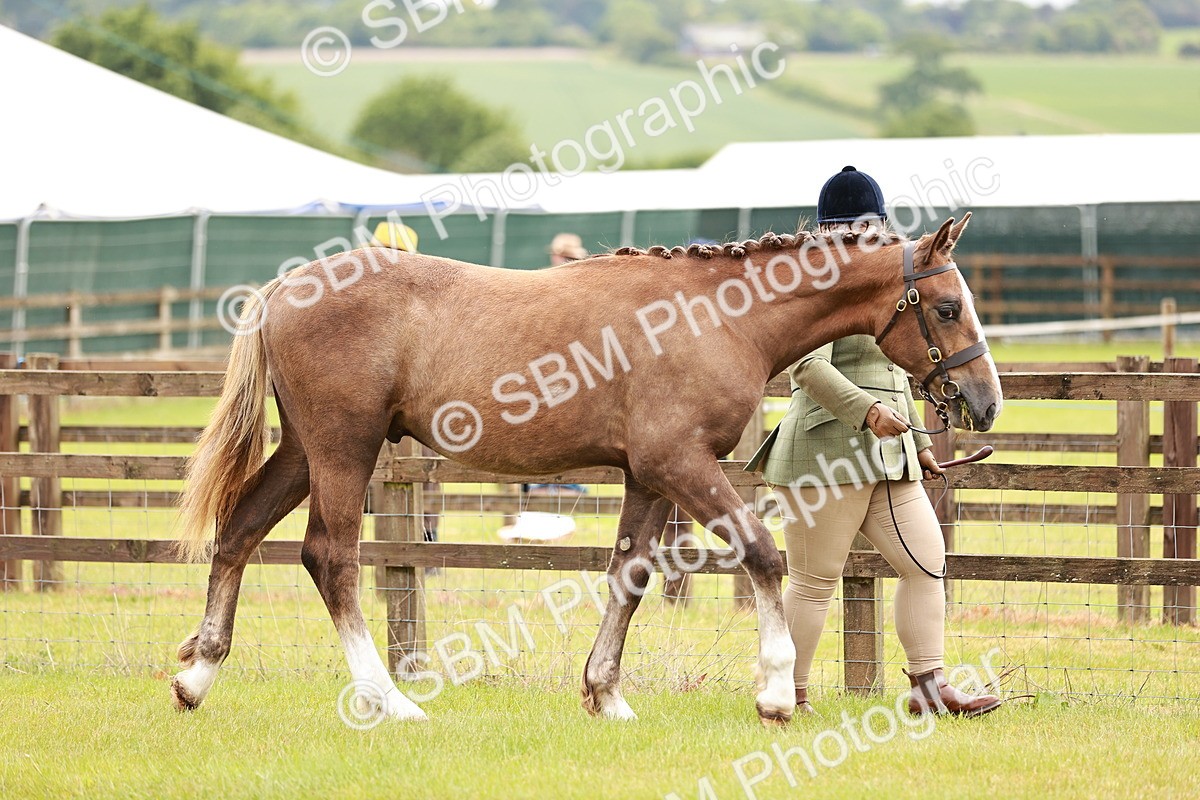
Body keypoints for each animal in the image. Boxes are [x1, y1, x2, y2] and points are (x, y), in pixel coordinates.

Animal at [170, 213, 1001, 727]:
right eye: (948, 307)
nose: (986, 403)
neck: (718, 316)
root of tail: (286, 287)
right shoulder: (680, 463)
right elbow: (763, 556)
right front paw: (773, 693)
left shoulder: (647, 476)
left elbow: (628, 577)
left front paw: (606, 696)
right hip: (345, 449)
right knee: (331, 559)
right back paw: (390, 701)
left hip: (304, 451)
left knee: (239, 533)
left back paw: (196, 677)